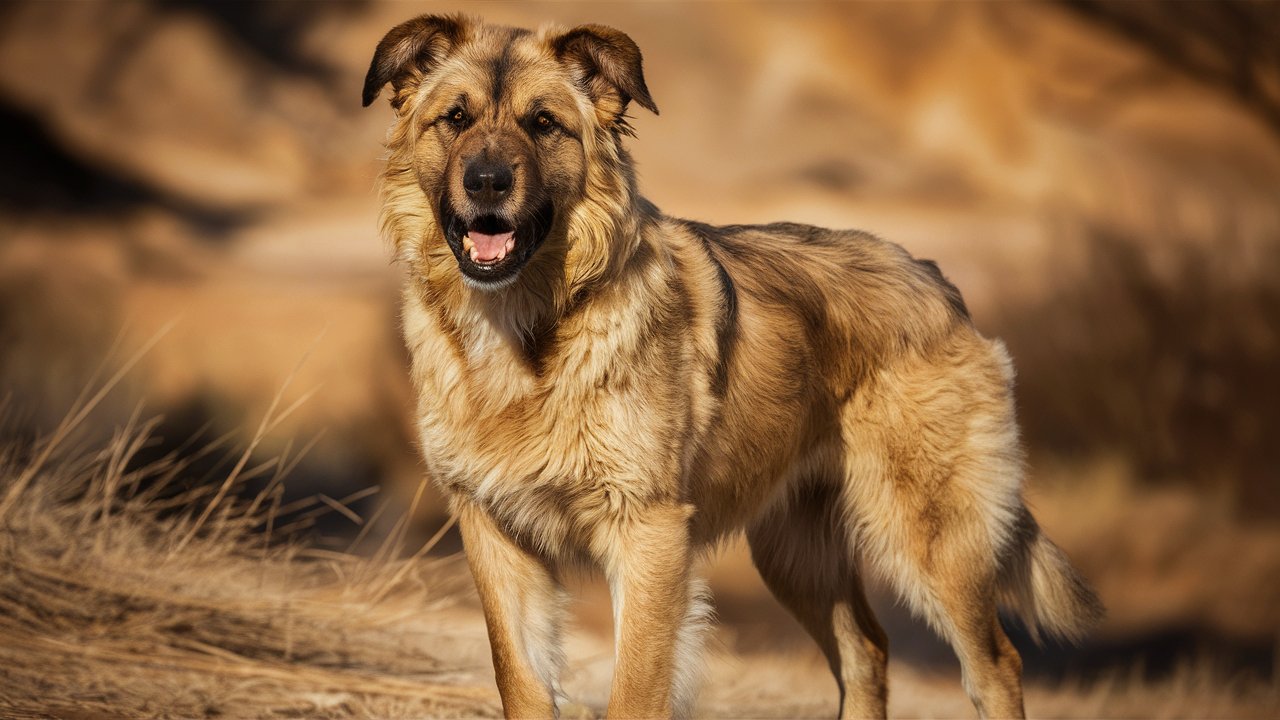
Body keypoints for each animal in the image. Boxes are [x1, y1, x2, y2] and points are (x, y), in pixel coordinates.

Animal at [360, 14, 1100, 712]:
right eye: (454, 118)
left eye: (543, 124)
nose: (486, 182)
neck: (527, 331)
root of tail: (935, 278)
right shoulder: (494, 531)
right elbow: (520, 683)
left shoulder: (648, 533)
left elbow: (635, 694)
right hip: (796, 556)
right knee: (867, 652)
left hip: (930, 542)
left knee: (995, 665)